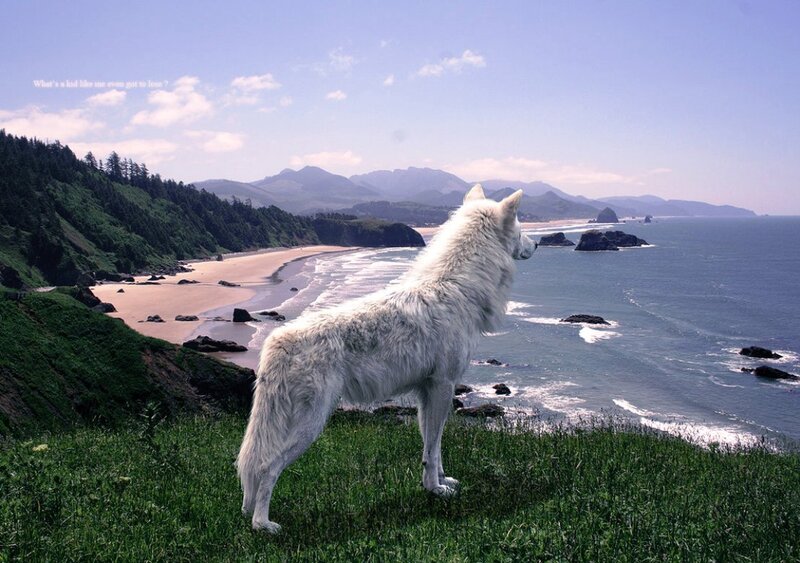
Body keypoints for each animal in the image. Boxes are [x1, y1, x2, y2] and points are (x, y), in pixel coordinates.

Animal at [237, 184, 536, 532]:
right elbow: (432, 449)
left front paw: (442, 481)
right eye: (521, 230)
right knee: (267, 467)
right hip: (310, 426)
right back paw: (262, 525)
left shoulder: (427, 392)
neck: (457, 287)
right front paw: (435, 491)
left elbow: (433, 448)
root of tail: (275, 342)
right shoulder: (444, 386)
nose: (538, 243)